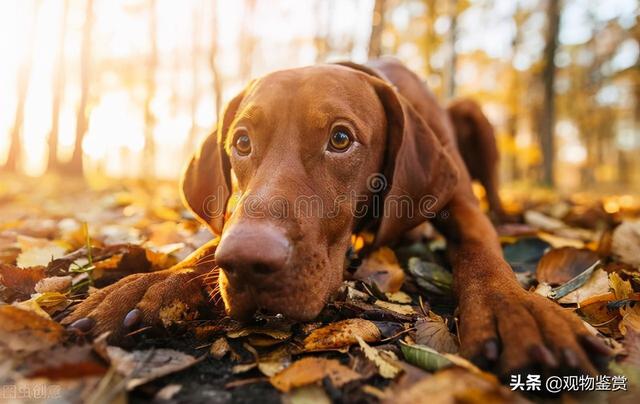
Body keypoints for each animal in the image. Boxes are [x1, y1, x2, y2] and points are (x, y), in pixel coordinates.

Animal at [65, 58, 608, 378]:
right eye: (241, 142)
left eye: (341, 138)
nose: (246, 263)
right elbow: (208, 243)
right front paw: (152, 282)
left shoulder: (458, 199)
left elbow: (480, 246)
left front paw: (512, 306)